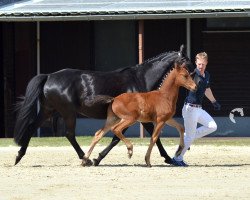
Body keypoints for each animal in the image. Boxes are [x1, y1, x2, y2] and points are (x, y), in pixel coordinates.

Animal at [14, 45, 191, 166]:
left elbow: (119, 137)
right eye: (186, 62)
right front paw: (168, 158)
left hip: (48, 110)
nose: (195, 78)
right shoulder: (138, 118)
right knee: (69, 134)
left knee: (32, 127)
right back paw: (85, 159)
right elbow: (123, 138)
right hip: (68, 112)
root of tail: (49, 76)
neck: (139, 79)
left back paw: (19, 155)